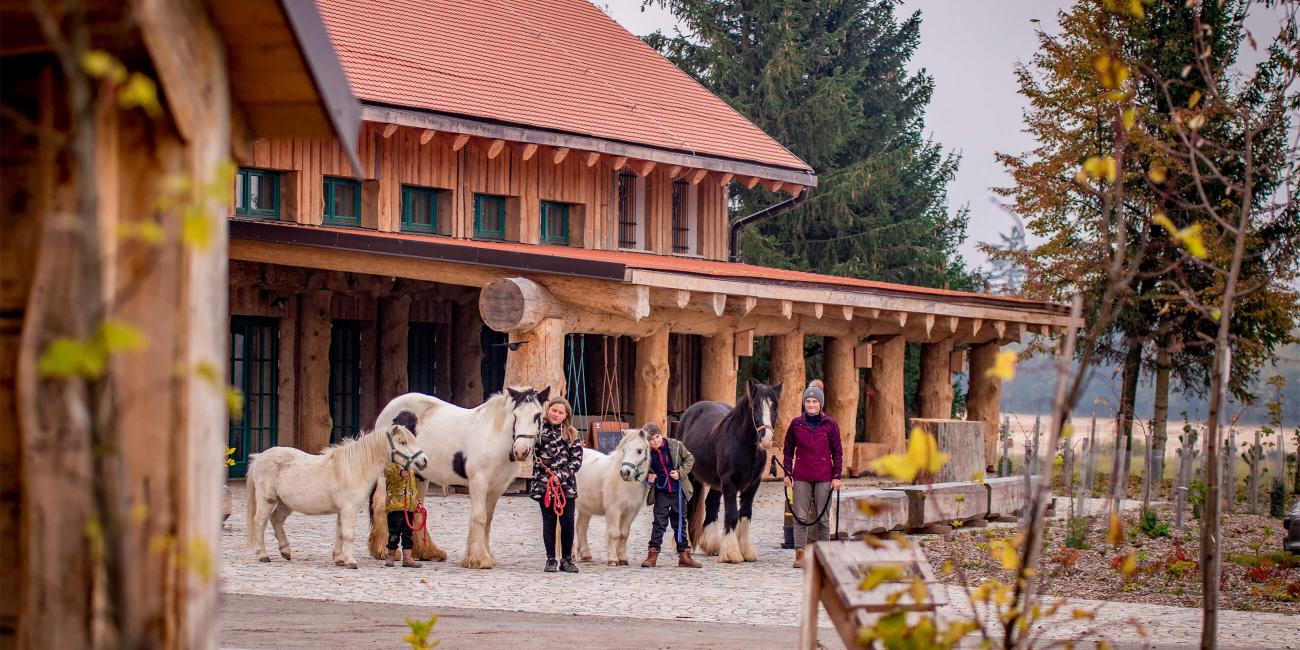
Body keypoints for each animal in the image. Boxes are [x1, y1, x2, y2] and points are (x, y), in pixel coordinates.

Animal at [244, 421, 426, 569]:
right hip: (267, 500)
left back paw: (285, 551)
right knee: (260, 522)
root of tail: (260, 457)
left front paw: (339, 559)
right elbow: (349, 535)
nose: (423, 461)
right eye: (402, 442)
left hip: (285, 503)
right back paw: (263, 555)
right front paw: (351, 562)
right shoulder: (348, 510)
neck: (354, 469)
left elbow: (340, 533)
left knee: (276, 519)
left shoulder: (342, 511)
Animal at [366, 384, 548, 569]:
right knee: (380, 504)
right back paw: (384, 551)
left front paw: (487, 555)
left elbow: (488, 520)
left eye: (537, 416)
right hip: (388, 475)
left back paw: (427, 552)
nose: (521, 451)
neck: (494, 437)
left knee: (416, 509)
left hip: (419, 476)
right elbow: (479, 517)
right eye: (515, 415)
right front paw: (478, 559)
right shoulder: (478, 483)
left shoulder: (496, 489)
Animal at [574, 426, 650, 564]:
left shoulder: (631, 512)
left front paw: (623, 558)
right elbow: (614, 533)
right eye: (624, 450)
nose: (625, 472)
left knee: (581, 528)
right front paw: (613, 559)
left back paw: (586, 555)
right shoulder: (614, 510)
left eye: (639, 451)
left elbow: (624, 534)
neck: (626, 485)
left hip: (585, 509)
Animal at [681, 379, 780, 564]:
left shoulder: (752, 484)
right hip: (689, 475)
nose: (766, 439)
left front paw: (746, 551)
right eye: (755, 406)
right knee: (688, 505)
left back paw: (712, 545)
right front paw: (731, 553)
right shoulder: (729, 482)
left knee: (711, 504)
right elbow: (732, 514)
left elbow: (745, 514)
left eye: (774, 406)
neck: (744, 445)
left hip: (716, 483)